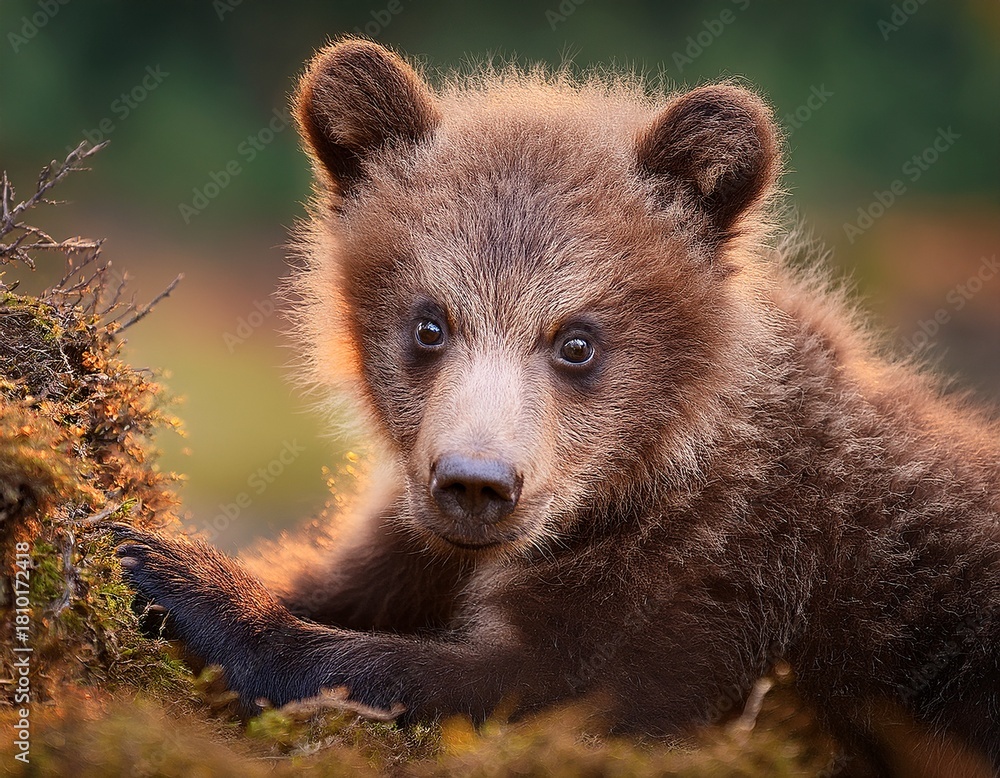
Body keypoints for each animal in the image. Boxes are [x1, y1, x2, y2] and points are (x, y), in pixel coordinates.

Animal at [112, 38, 1000, 775]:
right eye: (430, 324)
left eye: (576, 340)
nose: (475, 483)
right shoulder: (417, 541)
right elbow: (345, 576)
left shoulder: (722, 583)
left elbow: (532, 688)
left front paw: (175, 575)